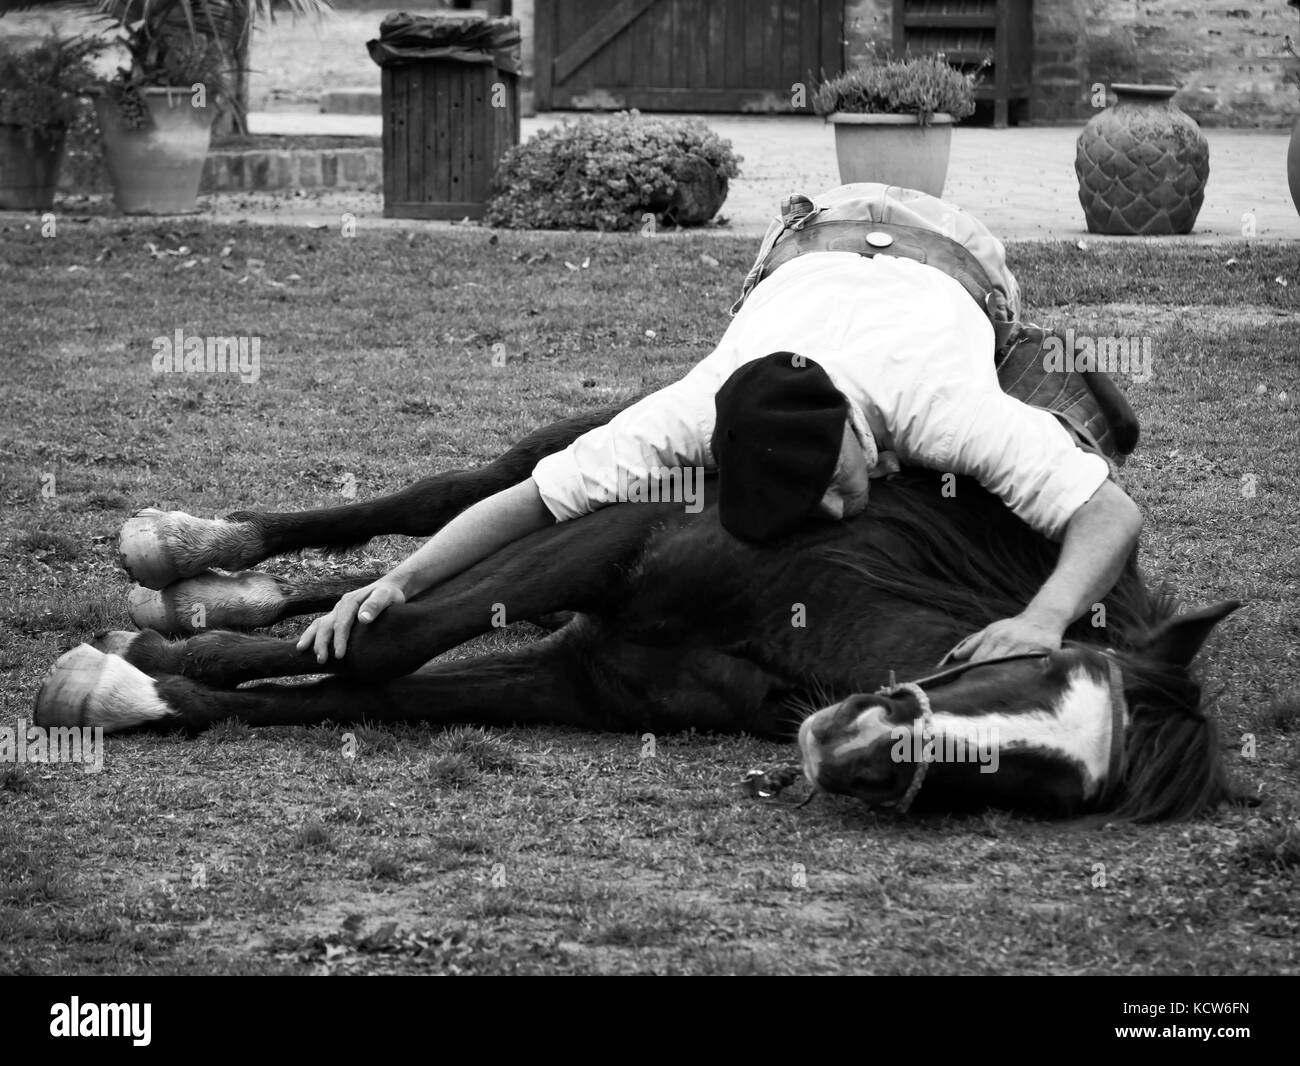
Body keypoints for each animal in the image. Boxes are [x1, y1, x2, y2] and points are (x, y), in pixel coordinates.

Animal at [35, 403, 1237, 821]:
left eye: (1038, 782)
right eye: (1019, 668)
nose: (840, 742)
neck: (808, 609)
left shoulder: (578, 680)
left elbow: (366, 687)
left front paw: (142, 686)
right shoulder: (608, 546)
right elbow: (392, 632)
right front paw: (132, 659)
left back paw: (204, 595)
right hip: (577, 461)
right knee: (442, 506)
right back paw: (192, 553)